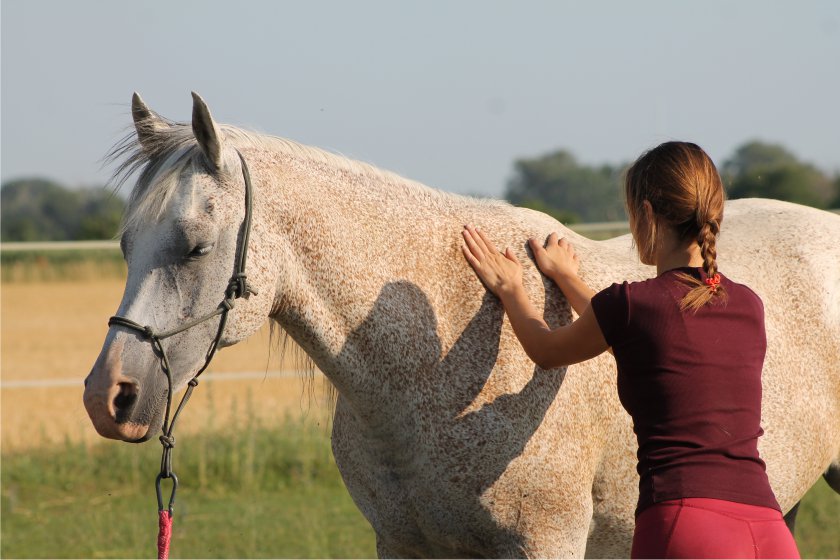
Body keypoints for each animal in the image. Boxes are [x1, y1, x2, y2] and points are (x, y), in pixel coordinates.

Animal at [87, 92, 840, 556]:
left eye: (195, 246)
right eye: (125, 244)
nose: (108, 396)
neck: (437, 356)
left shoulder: (545, 545)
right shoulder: (404, 545)